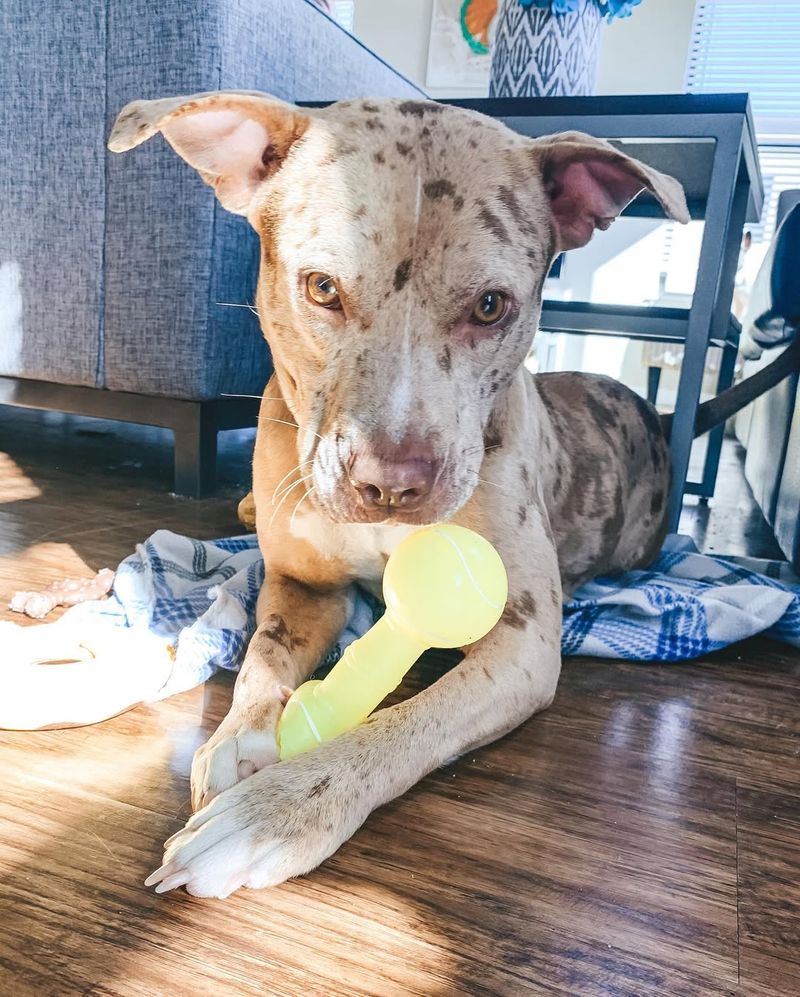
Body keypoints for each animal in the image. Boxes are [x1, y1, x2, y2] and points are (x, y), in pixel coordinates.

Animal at [108, 95, 800, 904]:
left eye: (492, 305)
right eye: (321, 287)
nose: (391, 483)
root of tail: (656, 417)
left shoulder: (522, 645)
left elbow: (398, 725)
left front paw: (272, 811)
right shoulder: (303, 582)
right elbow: (262, 656)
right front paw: (236, 740)